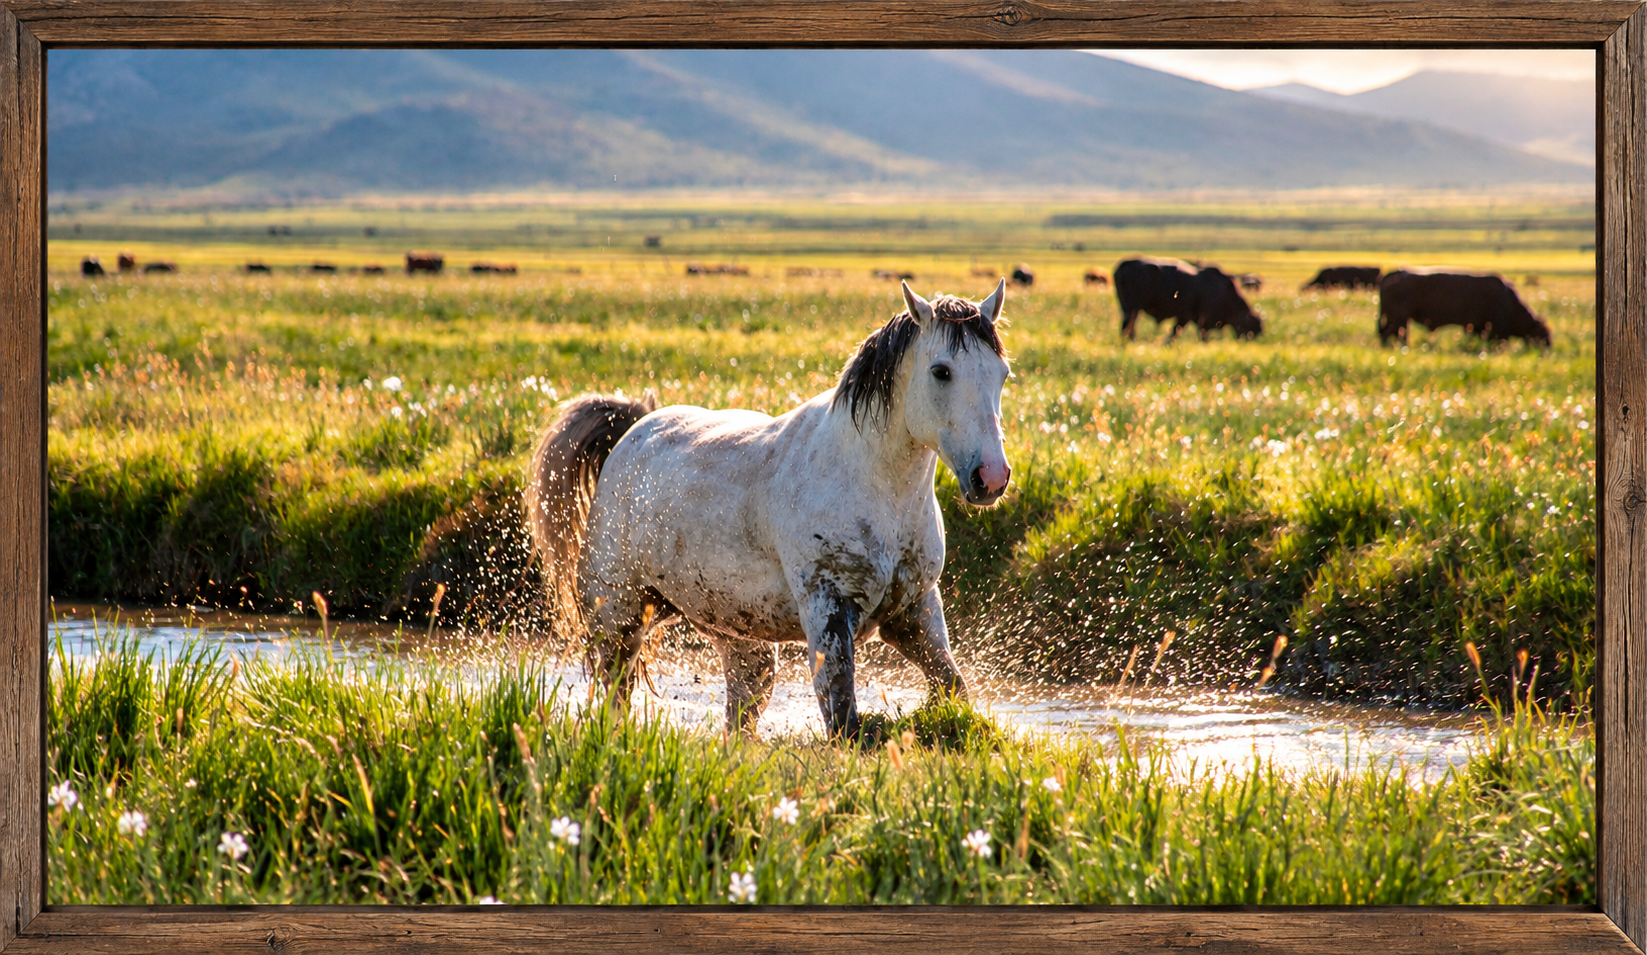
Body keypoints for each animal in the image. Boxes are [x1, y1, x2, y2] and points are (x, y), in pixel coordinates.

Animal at [526, 280, 1012, 739]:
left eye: (1002, 374)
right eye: (941, 371)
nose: (990, 477)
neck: (872, 486)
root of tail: (634, 428)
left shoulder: (915, 612)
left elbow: (952, 687)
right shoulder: (827, 610)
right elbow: (843, 718)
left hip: (738, 640)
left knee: (741, 713)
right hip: (619, 620)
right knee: (614, 697)